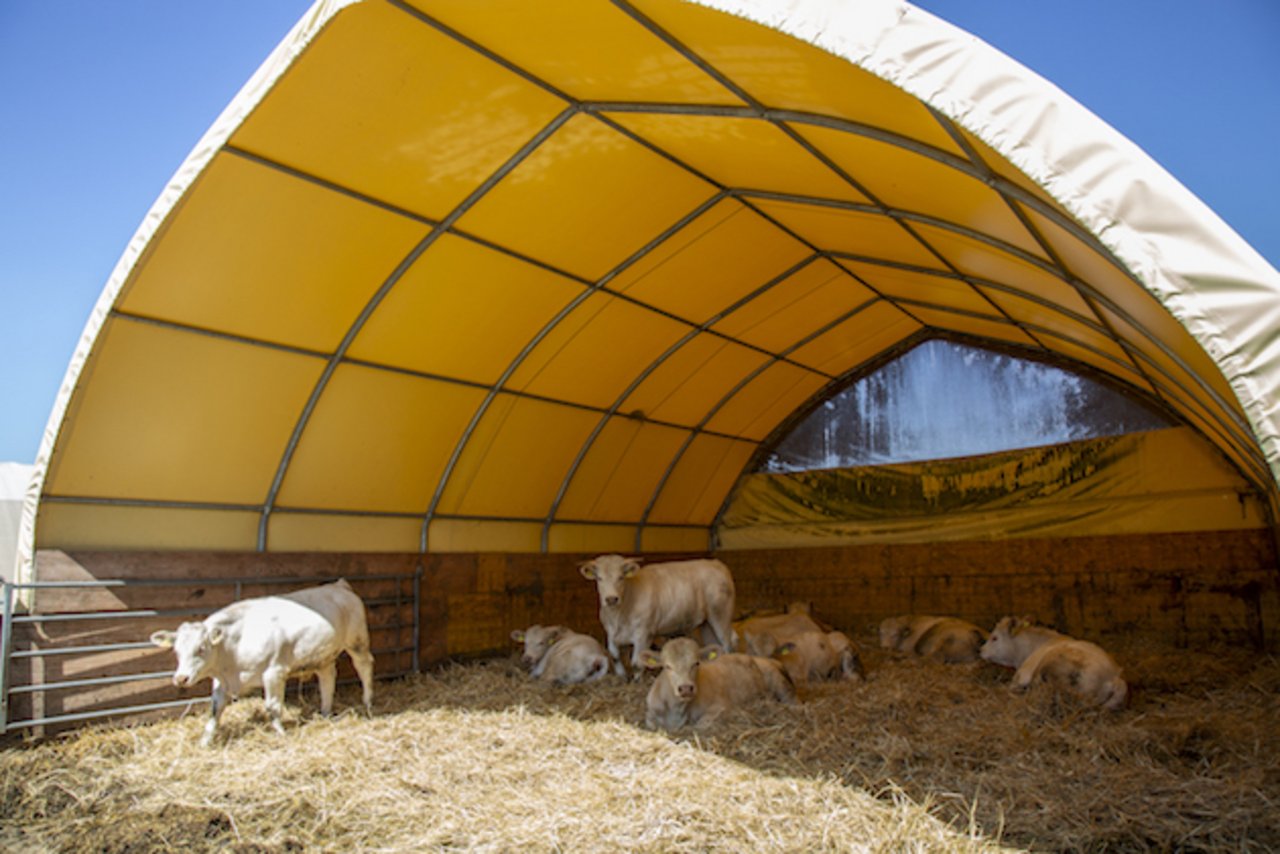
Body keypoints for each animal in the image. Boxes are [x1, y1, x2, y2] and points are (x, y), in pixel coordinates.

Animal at [149, 578, 373, 742]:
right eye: (176, 651)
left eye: (201, 649)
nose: (181, 679)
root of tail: (338, 585)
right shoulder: (221, 681)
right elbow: (215, 709)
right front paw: (205, 741)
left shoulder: (275, 672)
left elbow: (273, 707)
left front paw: (281, 734)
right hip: (323, 655)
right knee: (327, 678)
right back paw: (325, 712)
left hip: (357, 642)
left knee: (364, 667)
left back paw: (368, 702)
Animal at [578, 555, 737, 681]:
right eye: (599, 578)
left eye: (621, 577)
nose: (611, 599)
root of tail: (715, 563)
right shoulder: (610, 633)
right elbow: (614, 655)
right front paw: (623, 677)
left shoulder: (644, 634)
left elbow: (637, 662)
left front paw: (637, 680)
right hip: (707, 623)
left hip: (720, 615)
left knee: (727, 643)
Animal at [645, 637, 793, 732]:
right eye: (667, 666)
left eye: (696, 663)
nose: (686, 688)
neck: (676, 711)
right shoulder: (650, 713)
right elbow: (651, 724)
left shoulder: (722, 706)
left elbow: (700, 725)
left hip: (781, 685)